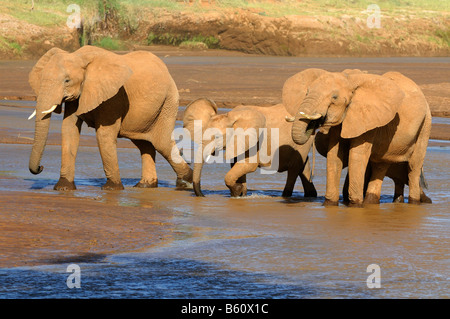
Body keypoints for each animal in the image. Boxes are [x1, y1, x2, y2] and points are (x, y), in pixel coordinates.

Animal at [26, 46, 192, 191]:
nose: (41, 167)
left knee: (162, 143)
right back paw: (145, 185)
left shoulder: (114, 96)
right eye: (41, 79)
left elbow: (103, 134)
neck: (79, 56)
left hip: (168, 102)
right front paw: (63, 188)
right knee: (144, 144)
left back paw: (186, 183)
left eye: (67, 80)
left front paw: (112, 189)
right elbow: (69, 130)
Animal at [182, 98, 316, 198]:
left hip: (302, 142)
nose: (203, 195)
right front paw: (240, 194)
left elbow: (247, 165)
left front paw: (238, 191)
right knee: (304, 167)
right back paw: (311, 196)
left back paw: (286, 196)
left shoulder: (255, 141)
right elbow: (236, 165)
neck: (230, 116)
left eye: (217, 137)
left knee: (294, 168)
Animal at [290, 70, 430, 208]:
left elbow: (357, 156)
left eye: (334, 97)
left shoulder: (368, 121)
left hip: (425, 124)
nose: (315, 124)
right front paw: (330, 204)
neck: (350, 80)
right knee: (380, 165)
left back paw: (413, 202)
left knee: (413, 166)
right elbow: (334, 156)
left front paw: (355, 206)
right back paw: (371, 203)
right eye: (306, 92)